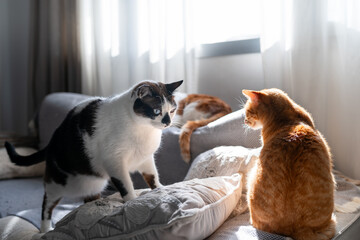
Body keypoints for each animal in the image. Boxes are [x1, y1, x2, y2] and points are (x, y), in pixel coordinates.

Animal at [4, 79, 181, 232]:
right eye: (157, 111)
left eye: (172, 111)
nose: (167, 122)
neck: (144, 130)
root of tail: (53, 139)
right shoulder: (115, 162)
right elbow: (126, 186)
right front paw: (132, 201)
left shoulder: (145, 159)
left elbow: (153, 177)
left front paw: (160, 190)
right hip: (56, 183)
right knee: (47, 206)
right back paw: (44, 230)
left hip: (93, 185)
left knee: (88, 200)